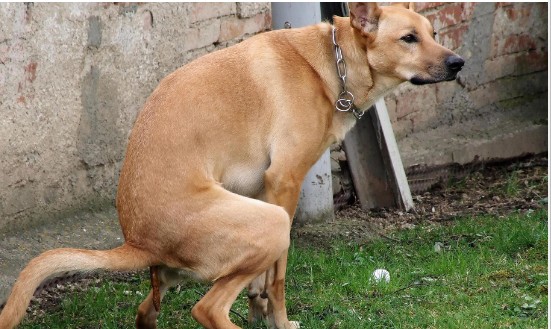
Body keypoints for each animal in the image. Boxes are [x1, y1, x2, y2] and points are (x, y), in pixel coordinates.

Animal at [0, 3, 464, 328]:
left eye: (433, 34)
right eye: (408, 38)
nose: (458, 63)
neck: (333, 64)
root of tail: (137, 241)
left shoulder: (264, 189)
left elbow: (262, 282)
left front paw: (259, 308)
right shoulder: (284, 184)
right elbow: (278, 279)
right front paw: (277, 320)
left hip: (183, 269)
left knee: (148, 308)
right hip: (270, 223)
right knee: (207, 309)